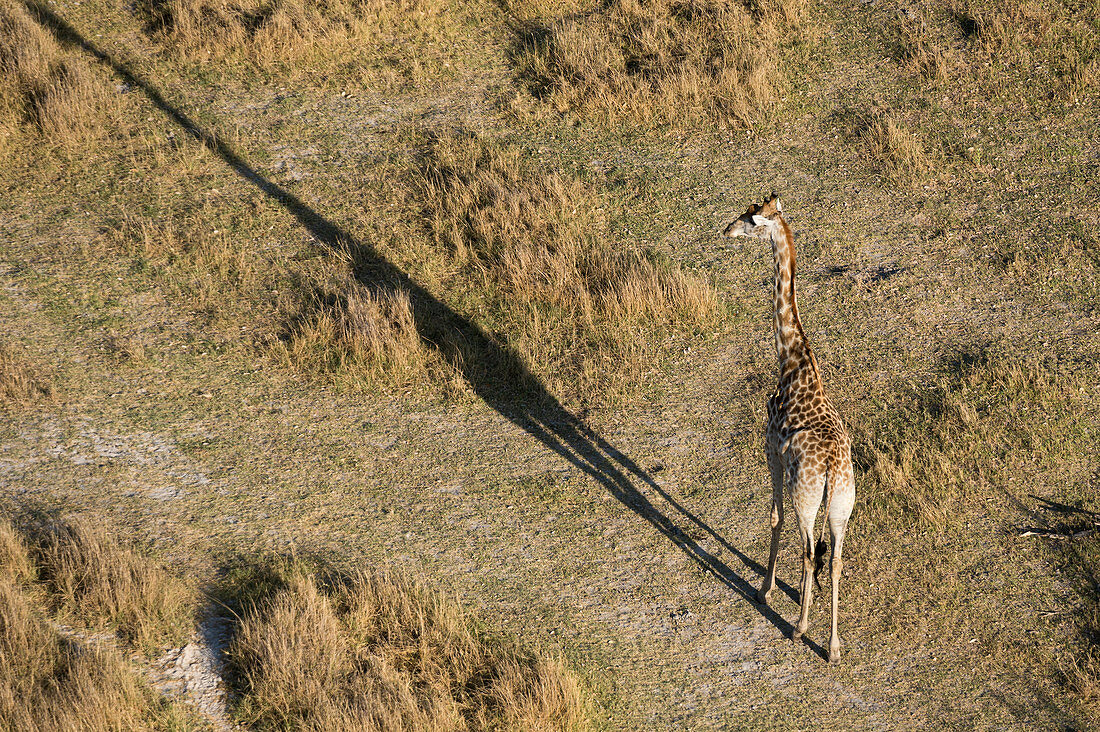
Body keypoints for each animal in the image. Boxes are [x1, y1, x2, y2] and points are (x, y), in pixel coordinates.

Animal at [726, 193, 853, 660]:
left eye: (749, 220)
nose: (725, 230)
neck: (792, 360)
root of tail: (832, 470)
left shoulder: (770, 451)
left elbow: (773, 517)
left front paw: (764, 590)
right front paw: (797, 594)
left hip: (808, 499)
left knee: (808, 550)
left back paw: (799, 628)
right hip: (842, 506)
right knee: (833, 559)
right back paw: (832, 646)